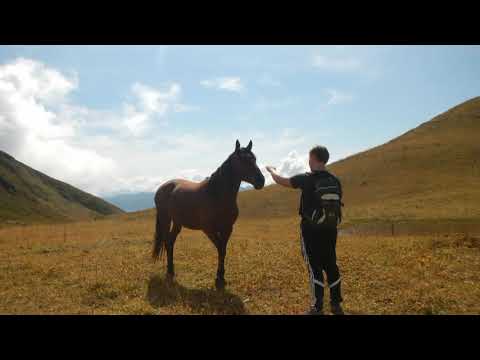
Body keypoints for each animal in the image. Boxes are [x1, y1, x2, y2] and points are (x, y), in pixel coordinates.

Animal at [153, 140, 266, 290]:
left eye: (254, 159)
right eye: (242, 160)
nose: (261, 181)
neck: (216, 194)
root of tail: (162, 187)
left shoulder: (227, 229)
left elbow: (223, 250)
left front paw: (221, 276)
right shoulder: (209, 229)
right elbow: (220, 249)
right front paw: (219, 277)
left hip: (177, 223)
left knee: (171, 242)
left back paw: (171, 270)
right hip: (165, 220)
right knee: (167, 242)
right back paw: (170, 271)